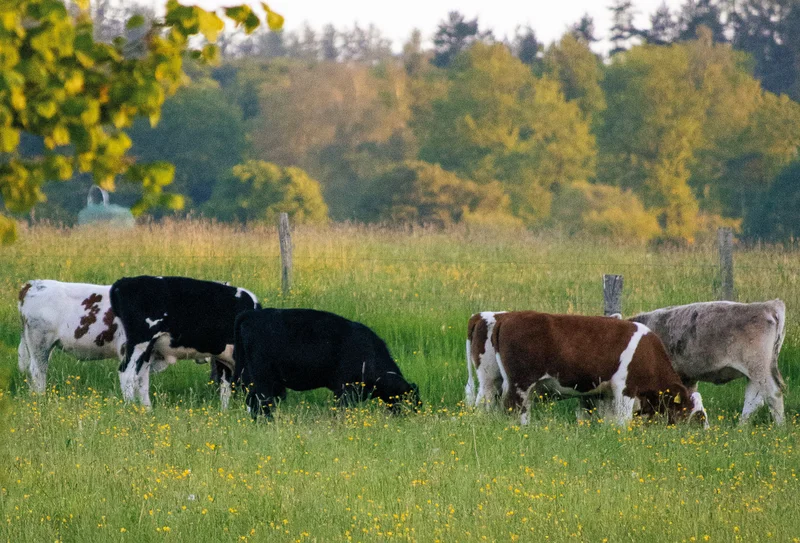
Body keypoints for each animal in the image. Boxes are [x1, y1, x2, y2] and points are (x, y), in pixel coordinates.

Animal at [110, 276, 260, 409]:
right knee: (127, 374)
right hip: (139, 343)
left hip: (146, 350)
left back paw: (147, 409)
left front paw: (224, 412)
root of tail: (122, 282)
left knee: (141, 378)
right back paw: (131, 407)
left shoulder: (224, 358)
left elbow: (225, 388)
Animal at [232, 308, 421, 419]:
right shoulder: (344, 390)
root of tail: (251, 315)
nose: (416, 414)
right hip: (263, 379)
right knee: (262, 403)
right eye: (409, 398)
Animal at [490, 311, 708, 426]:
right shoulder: (625, 389)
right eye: (696, 415)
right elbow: (622, 420)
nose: (703, 433)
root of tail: (508, 317)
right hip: (520, 383)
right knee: (513, 410)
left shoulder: (601, 394)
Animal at [629, 300, 786, 425]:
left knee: (773, 394)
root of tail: (769, 305)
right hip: (754, 373)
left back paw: (780, 427)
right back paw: (741, 428)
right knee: (753, 400)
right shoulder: (687, 378)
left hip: (759, 369)